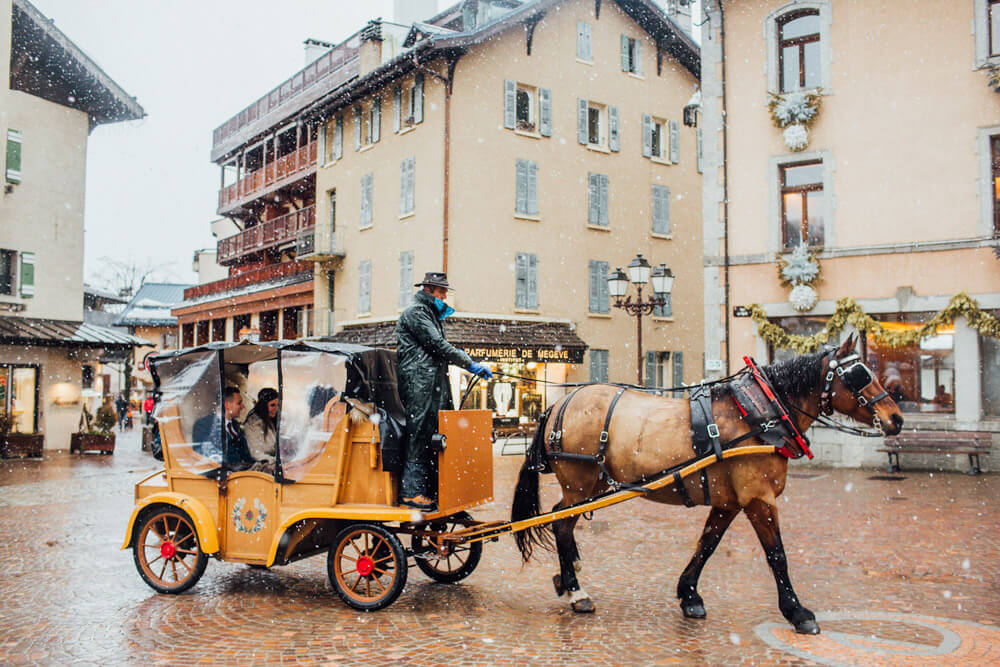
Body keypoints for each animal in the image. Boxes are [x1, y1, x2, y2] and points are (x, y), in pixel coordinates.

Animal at [512, 336, 904, 636]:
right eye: (858, 375)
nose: (896, 418)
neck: (761, 414)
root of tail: (559, 404)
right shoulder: (758, 498)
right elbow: (777, 556)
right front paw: (798, 612)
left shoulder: (729, 502)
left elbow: (707, 545)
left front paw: (689, 595)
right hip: (579, 485)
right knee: (561, 524)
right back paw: (576, 591)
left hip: (587, 488)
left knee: (561, 520)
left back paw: (567, 578)